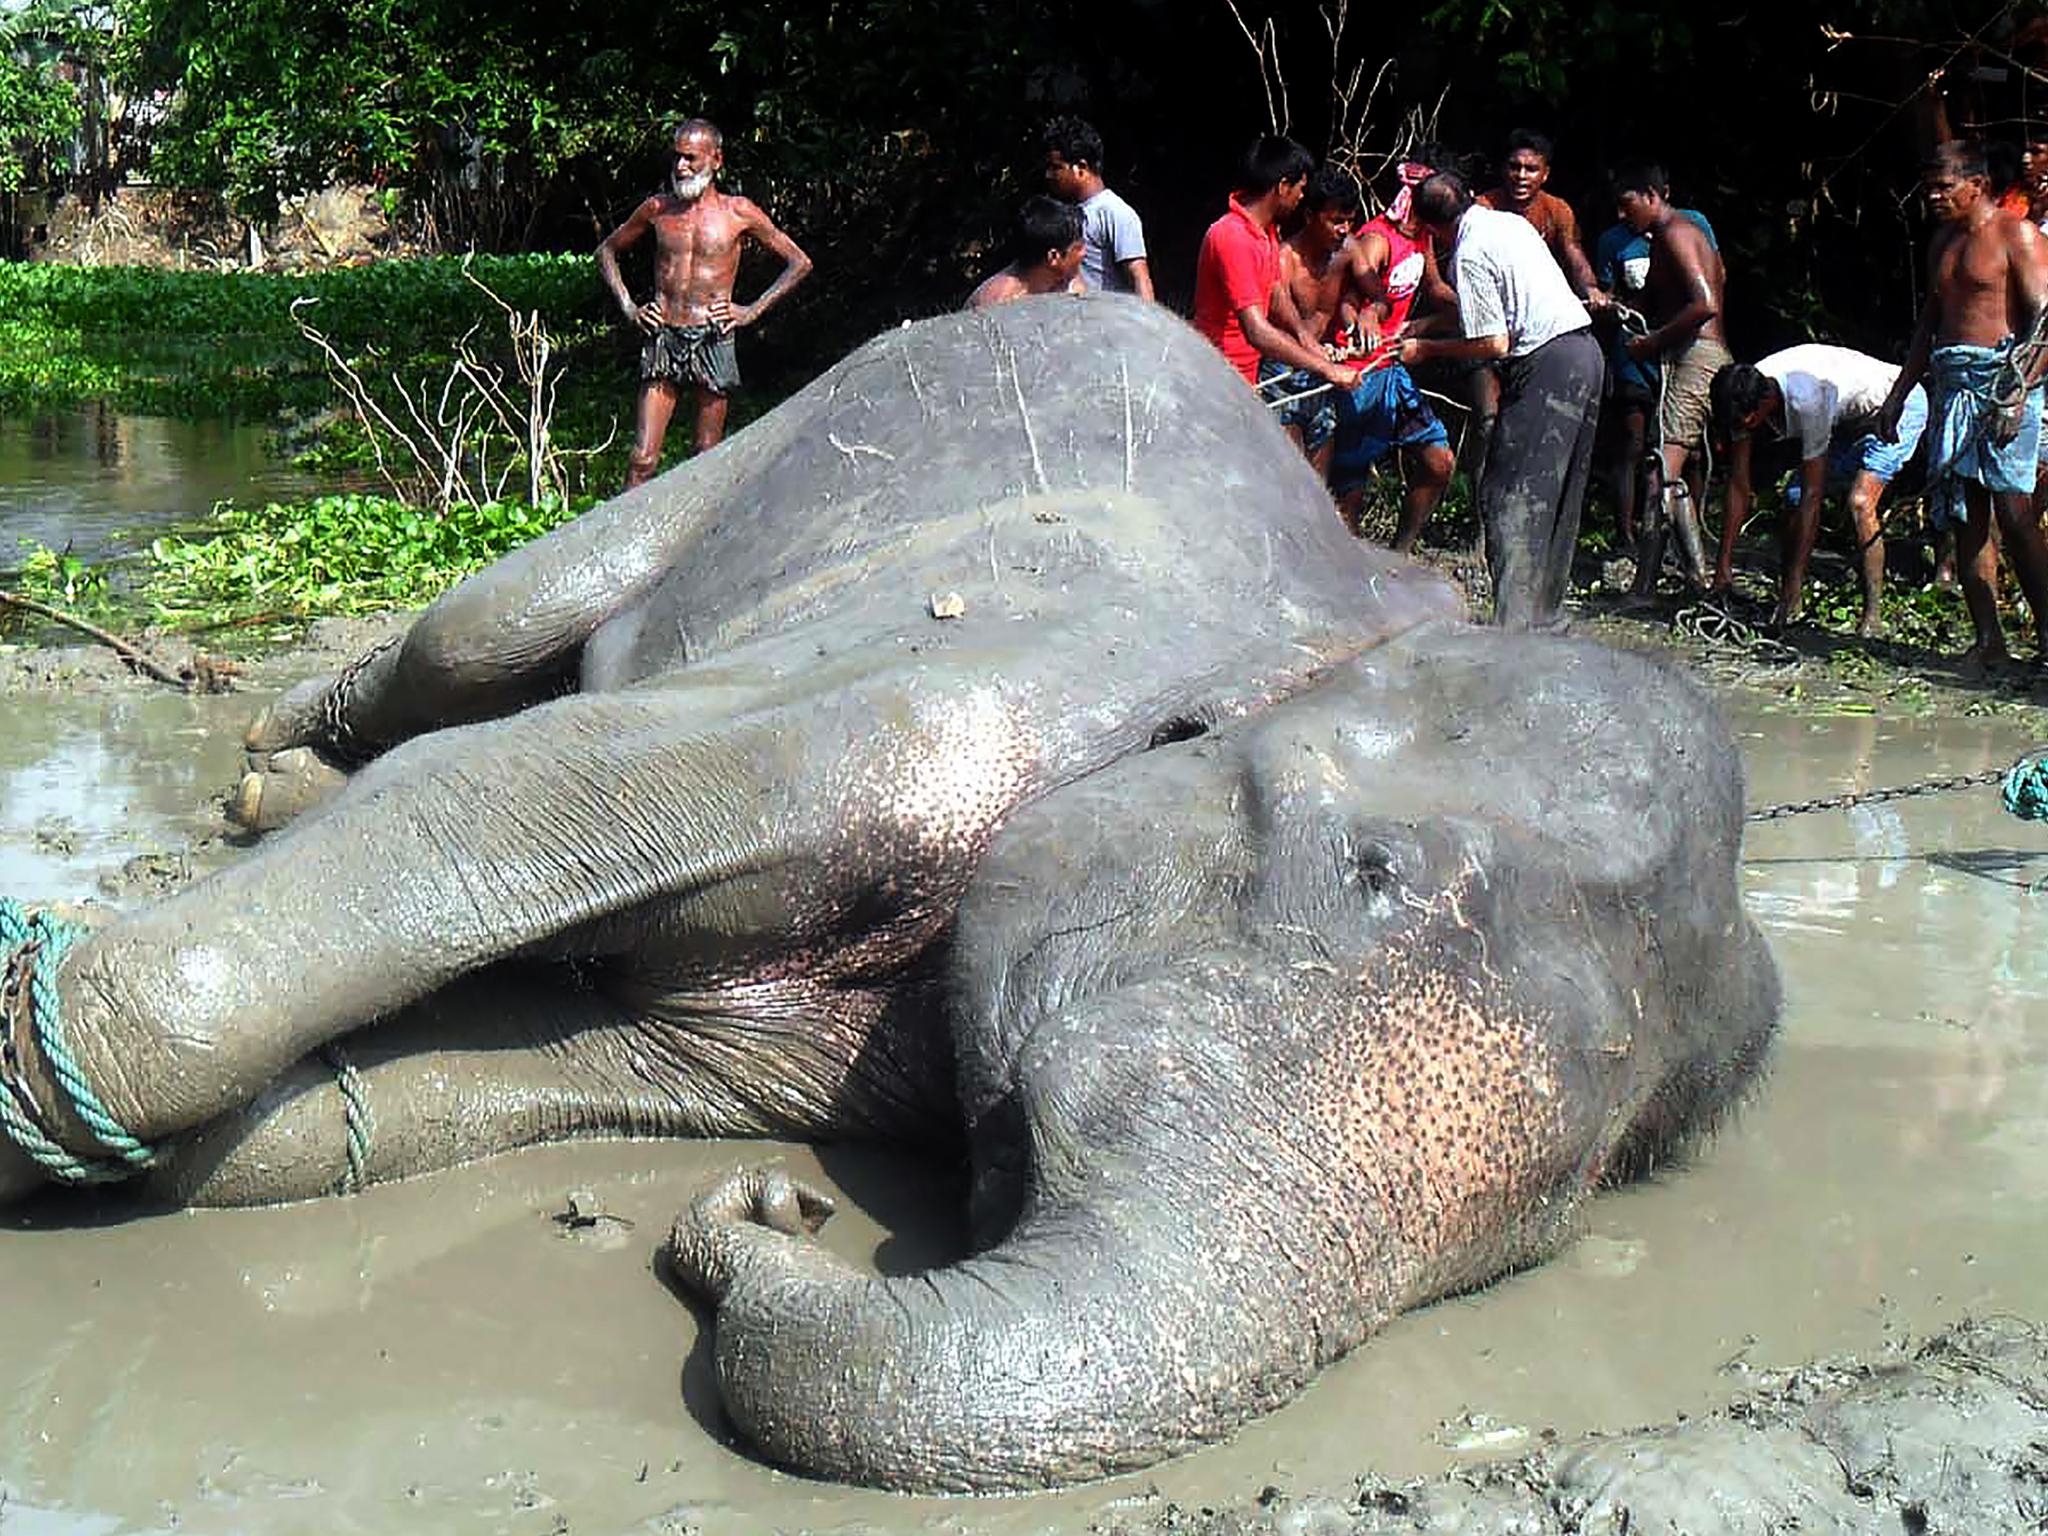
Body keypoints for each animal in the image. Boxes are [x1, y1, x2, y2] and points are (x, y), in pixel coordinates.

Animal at [0, 294, 1777, 1499]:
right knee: (483, 636)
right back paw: (263, 771)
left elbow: (480, 1079)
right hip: (780, 425)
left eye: (1586, 1190)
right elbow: (516, 785)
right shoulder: (931, 704)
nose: (774, 1214)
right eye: (1374, 877)